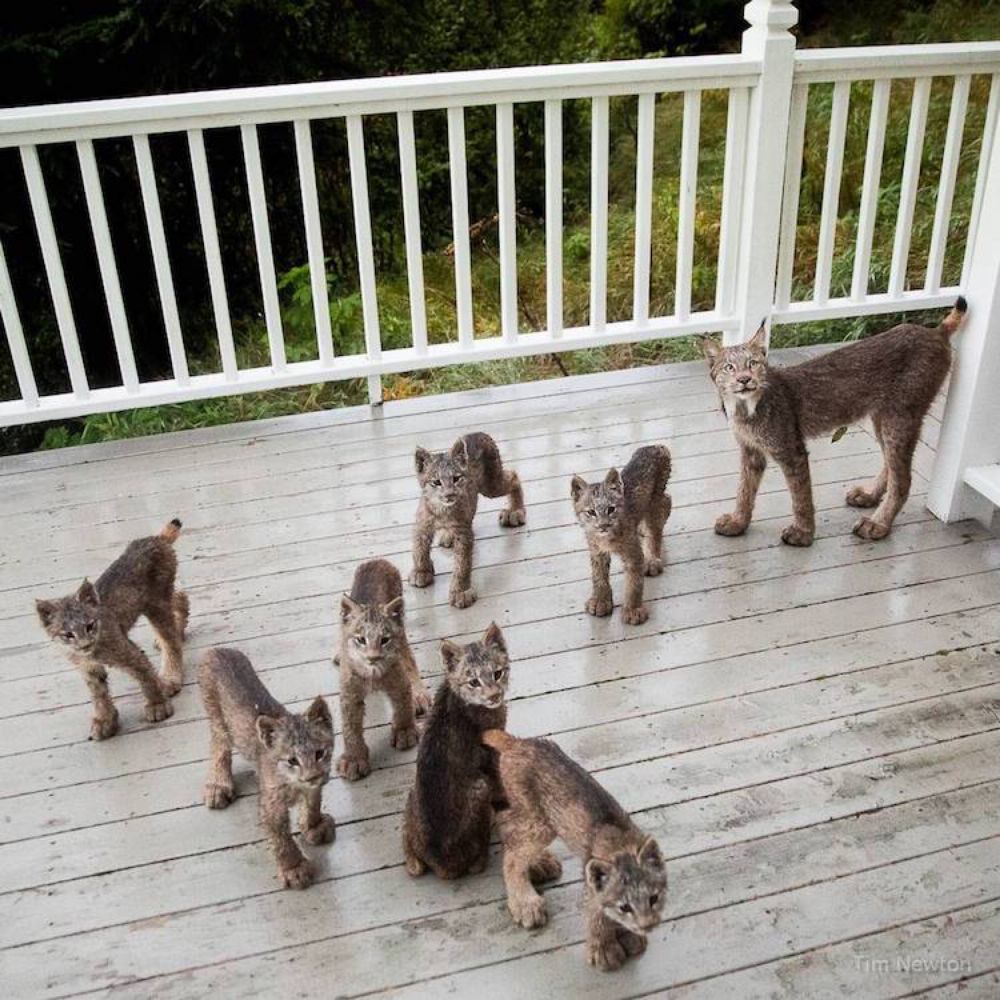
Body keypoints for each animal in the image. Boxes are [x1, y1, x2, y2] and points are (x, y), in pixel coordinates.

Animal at [36, 520, 189, 740]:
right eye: (68, 635)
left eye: (89, 626)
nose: (85, 644)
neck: (90, 652)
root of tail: (154, 538)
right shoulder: (88, 668)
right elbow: (98, 695)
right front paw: (104, 720)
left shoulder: (127, 652)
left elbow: (145, 676)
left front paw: (157, 704)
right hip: (156, 600)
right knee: (180, 597)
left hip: (156, 602)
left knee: (171, 641)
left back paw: (169, 677)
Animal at [199, 648, 336, 892]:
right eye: (292, 760)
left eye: (320, 753)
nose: (312, 776)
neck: (292, 781)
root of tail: (217, 649)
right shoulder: (271, 802)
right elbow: (280, 837)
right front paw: (294, 868)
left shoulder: (314, 785)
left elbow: (313, 802)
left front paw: (313, 825)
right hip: (218, 721)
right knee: (218, 745)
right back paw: (218, 785)